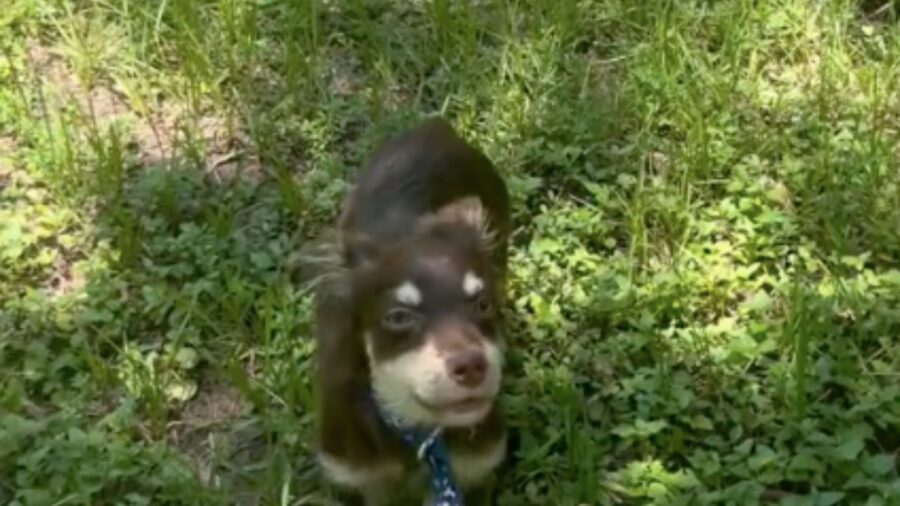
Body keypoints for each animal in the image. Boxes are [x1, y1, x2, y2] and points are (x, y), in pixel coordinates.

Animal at [306, 116, 510, 504]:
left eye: (483, 304)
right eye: (398, 316)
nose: (472, 367)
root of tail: (436, 126)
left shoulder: (472, 470)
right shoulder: (356, 473)